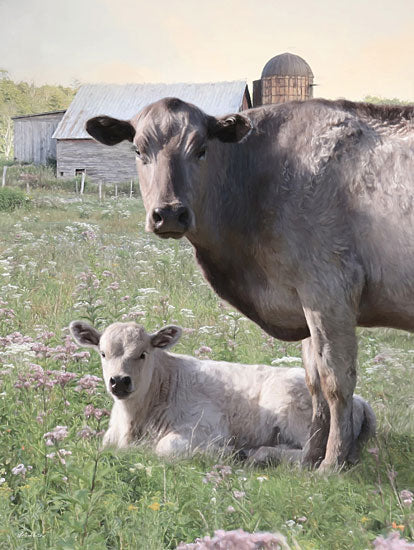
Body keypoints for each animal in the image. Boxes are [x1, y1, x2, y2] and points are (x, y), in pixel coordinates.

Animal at [85, 98, 414, 470]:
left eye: (201, 149)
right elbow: (314, 382)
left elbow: (336, 381)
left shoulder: (330, 288)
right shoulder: (302, 299)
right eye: (139, 149)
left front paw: (331, 465)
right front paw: (308, 460)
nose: (169, 213)